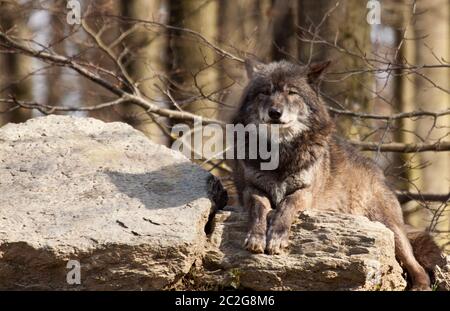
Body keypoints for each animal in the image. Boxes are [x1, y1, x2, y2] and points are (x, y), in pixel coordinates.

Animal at [232, 59, 442, 292]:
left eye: (292, 92)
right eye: (265, 92)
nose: (275, 112)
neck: (280, 153)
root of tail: (377, 172)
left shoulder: (306, 192)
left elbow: (287, 204)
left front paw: (277, 237)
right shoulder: (251, 189)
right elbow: (259, 208)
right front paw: (256, 237)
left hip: (389, 229)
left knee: (417, 266)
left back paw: (420, 285)